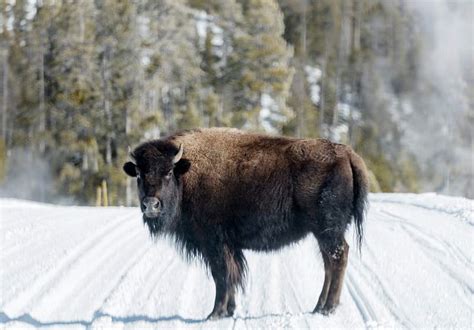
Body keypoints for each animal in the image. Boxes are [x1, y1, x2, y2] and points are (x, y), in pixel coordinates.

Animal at [122, 128, 366, 320]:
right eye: (139, 174)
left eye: (168, 172)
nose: (151, 205)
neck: (186, 173)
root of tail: (346, 153)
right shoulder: (228, 247)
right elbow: (230, 275)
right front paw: (228, 310)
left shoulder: (215, 243)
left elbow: (222, 275)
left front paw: (215, 313)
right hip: (322, 233)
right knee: (328, 263)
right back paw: (318, 307)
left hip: (327, 229)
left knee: (338, 258)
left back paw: (328, 308)